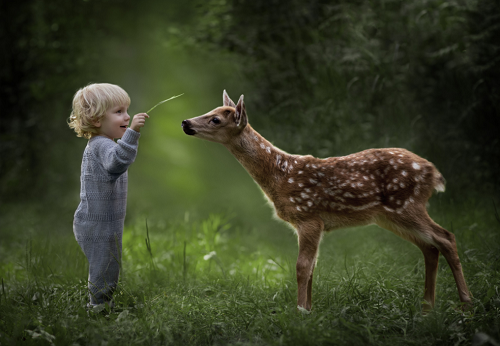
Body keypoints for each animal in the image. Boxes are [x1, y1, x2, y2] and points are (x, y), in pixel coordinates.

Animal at [182, 90, 470, 312]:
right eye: (210, 110)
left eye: (216, 119)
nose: (185, 122)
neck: (280, 175)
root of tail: (433, 173)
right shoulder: (310, 224)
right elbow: (311, 269)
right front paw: (310, 310)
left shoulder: (309, 216)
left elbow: (302, 267)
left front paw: (300, 311)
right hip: (389, 216)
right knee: (430, 247)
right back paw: (428, 306)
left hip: (406, 204)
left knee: (446, 237)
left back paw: (466, 302)